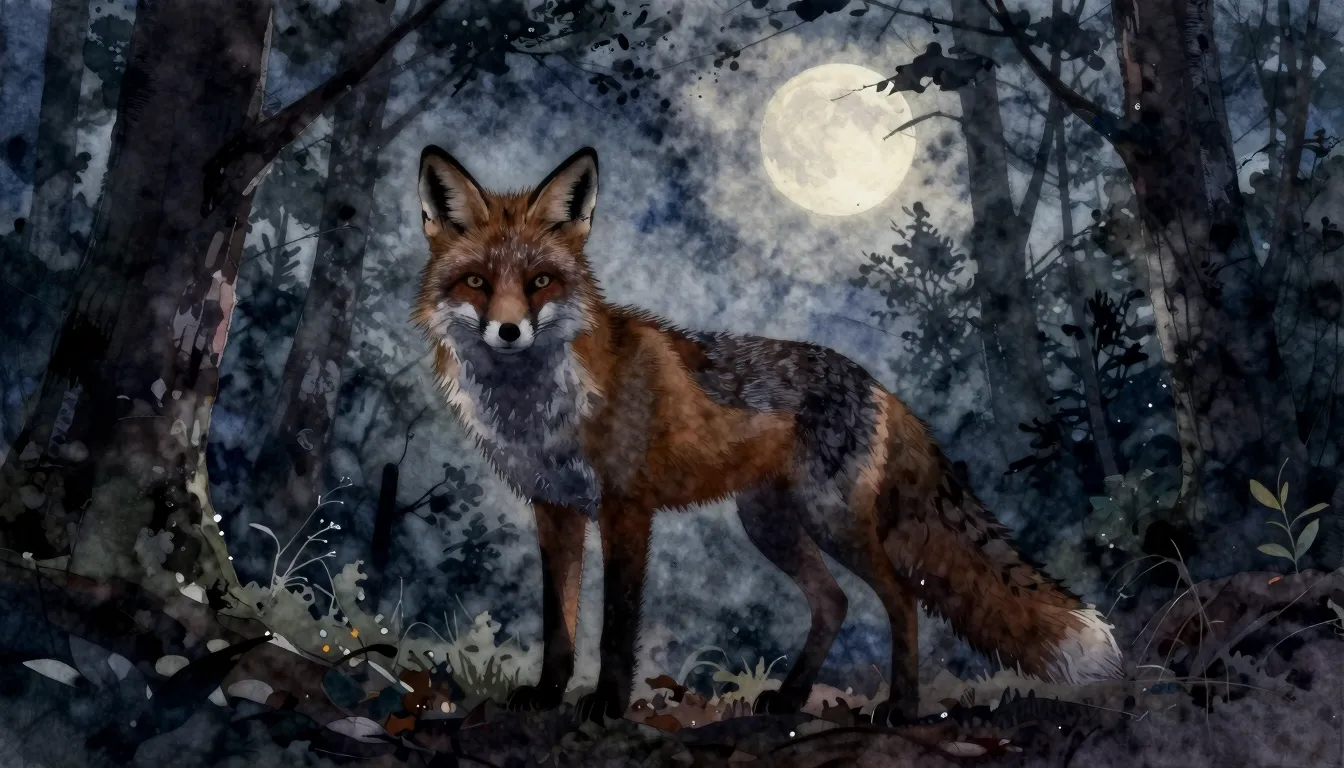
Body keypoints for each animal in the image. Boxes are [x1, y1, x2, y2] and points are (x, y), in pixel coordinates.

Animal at [411, 145, 1123, 723]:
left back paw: (900, 708)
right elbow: (558, 622)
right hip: (770, 523)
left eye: (540, 282)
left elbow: (615, 627)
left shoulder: (624, 509)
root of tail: (878, 386)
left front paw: (608, 705)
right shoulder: (555, 508)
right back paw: (790, 698)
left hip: (834, 521)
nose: (509, 332)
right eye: (477, 282)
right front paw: (546, 695)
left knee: (900, 599)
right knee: (833, 602)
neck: (541, 406)